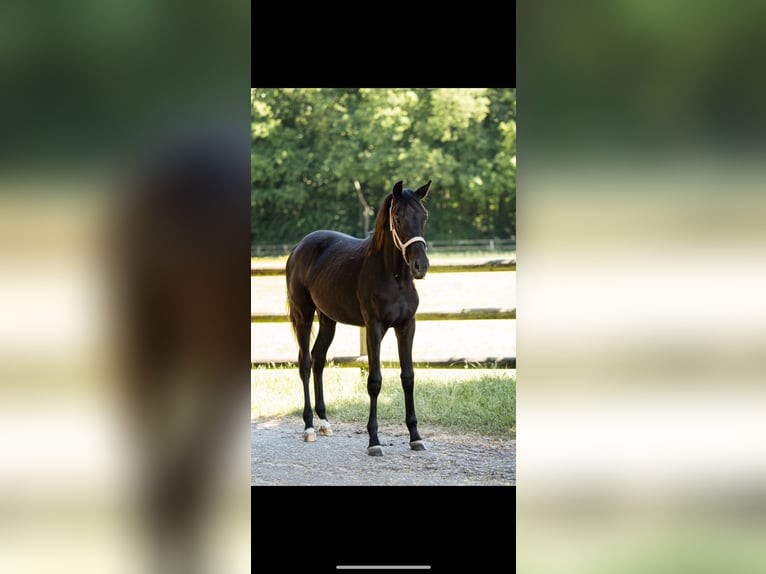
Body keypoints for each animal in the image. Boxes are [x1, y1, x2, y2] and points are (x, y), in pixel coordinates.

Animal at [286, 180, 431, 456]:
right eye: (398, 218)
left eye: (424, 216)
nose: (421, 266)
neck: (394, 276)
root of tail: (298, 248)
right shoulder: (374, 328)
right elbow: (374, 381)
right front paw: (374, 441)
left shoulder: (407, 326)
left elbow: (408, 377)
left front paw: (416, 436)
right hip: (303, 315)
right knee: (306, 363)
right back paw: (309, 427)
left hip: (328, 320)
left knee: (319, 360)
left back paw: (324, 422)